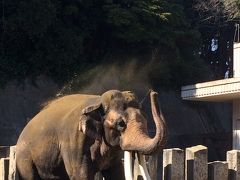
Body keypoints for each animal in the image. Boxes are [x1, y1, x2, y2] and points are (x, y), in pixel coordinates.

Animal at [15, 89, 167, 179]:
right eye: (120, 124)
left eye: (146, 120)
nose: (154, 93)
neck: (97, 102)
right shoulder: (74, 141)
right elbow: (80, 175)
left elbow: (116, 172)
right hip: (24, 159)